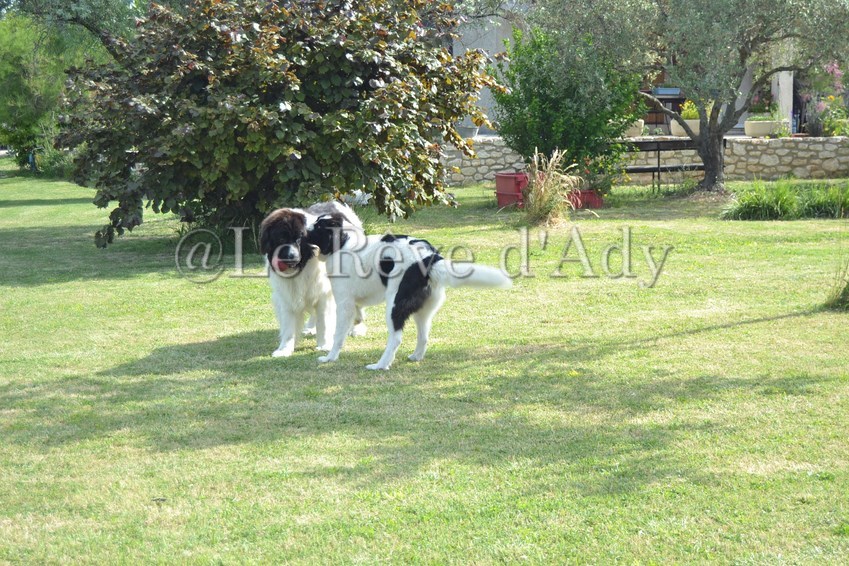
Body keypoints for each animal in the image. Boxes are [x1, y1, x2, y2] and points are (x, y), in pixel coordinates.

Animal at [259, 202, 364, 358]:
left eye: (299, 239)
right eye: (281, 239)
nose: (292, 257)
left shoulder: (324, 294)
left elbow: (324, 322)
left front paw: (324, 345)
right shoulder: (286, 296)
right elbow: (288, 324)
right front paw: (285, 349)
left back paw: (357, 328)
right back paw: (310, 327)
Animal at [306, 213, 512, 370]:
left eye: (318, 227)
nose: (303, 231)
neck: (343, 243)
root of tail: (430, 257)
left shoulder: (344, 303)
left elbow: (338, 335)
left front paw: (330, 357)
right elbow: (357, 316)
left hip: (394, 305)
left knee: (396, 338)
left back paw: (380, 365)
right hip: (423, 310)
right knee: (424, 336)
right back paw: (416, 356)